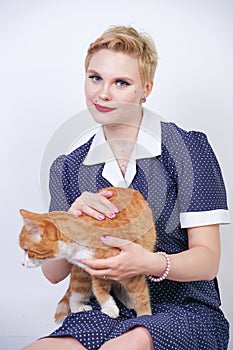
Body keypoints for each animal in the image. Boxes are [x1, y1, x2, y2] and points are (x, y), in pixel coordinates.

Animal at [18, 187, 157, 322]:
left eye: (26, 250)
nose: (22, 263)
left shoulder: (131, 269)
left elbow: (140, 295)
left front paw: (144, 315)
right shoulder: (98, 271)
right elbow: (98, 289)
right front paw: (110, 307)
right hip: (81, 274)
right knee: (76, 294)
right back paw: (79, 307)